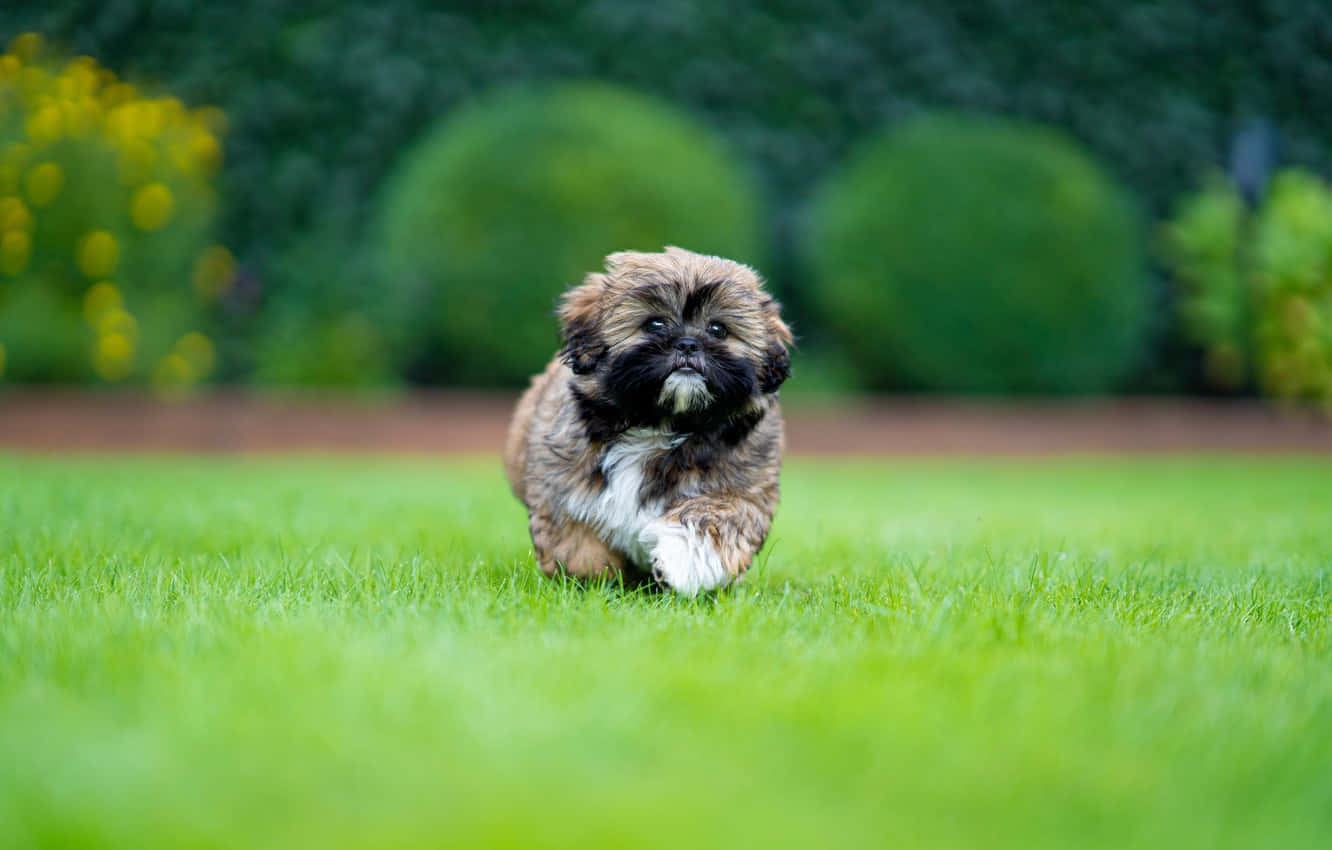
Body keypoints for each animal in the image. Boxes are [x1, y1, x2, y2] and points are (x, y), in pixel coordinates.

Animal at [500, 242, 788, 596]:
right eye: (655, 325)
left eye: (718, 330)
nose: (688, 344)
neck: (659, 423)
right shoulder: (559, 487)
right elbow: (577, 544)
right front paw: (594, 581)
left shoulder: (741, 492)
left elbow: (712, 520)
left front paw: (680, 562)